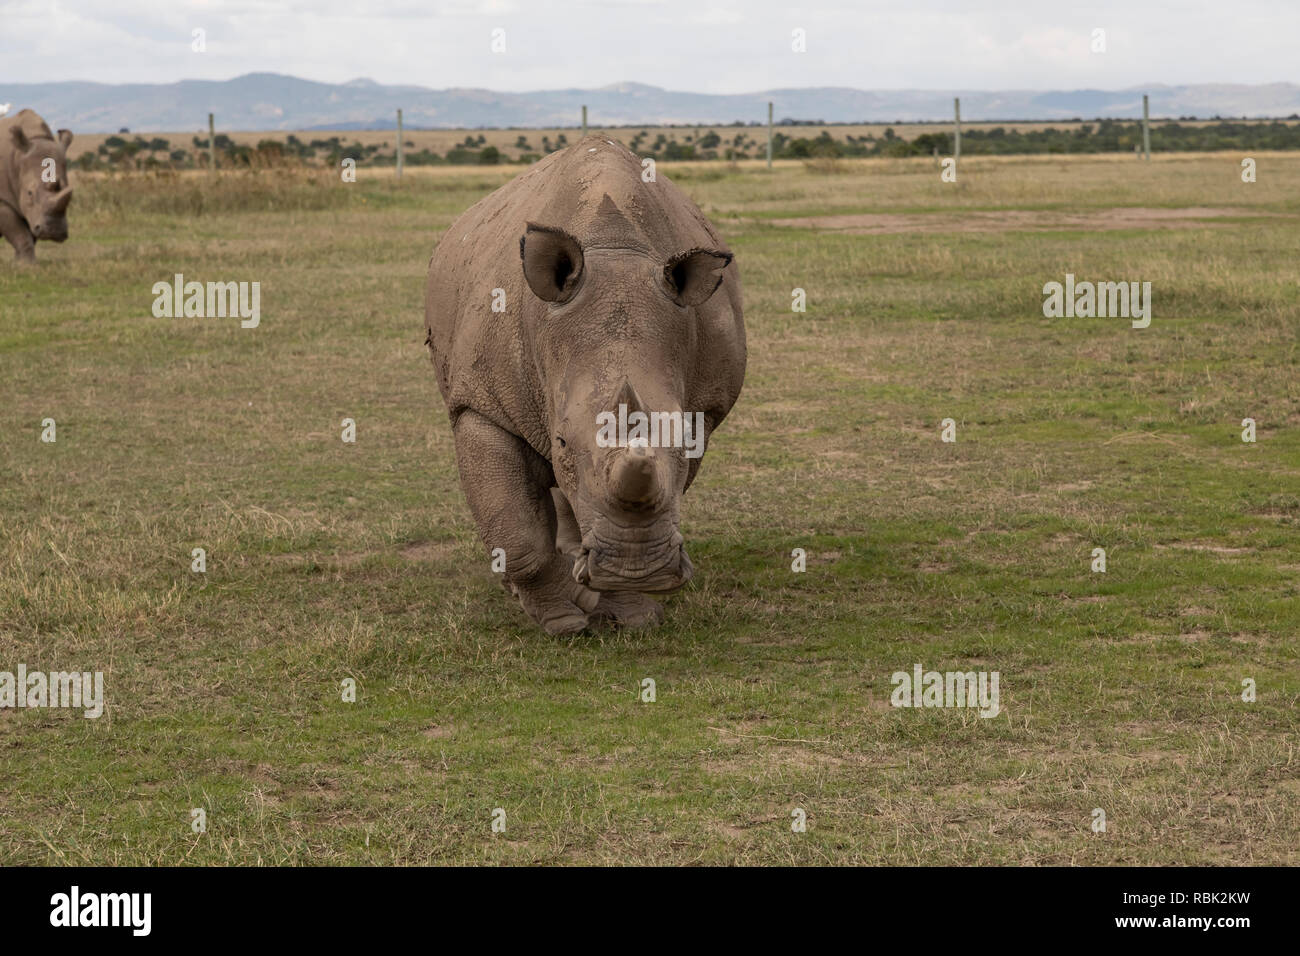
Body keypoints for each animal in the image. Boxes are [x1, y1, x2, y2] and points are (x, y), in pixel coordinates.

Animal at [0, 109, 74, 261]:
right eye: (30, 193)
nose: (54, 232)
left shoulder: (31, 212)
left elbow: (28, 234)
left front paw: (19, 262)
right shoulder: (3, 199)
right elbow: (19, 233)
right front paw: (27, 264)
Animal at [421, 132, 748, 629]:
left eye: (685, 438)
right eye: (560, 440)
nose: (637, 568)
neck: (613, 246)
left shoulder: (704, 410)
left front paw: (630, 614)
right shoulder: (482, 404)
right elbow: (518, 534)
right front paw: (561, 623)